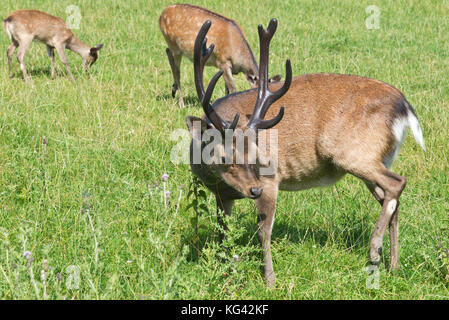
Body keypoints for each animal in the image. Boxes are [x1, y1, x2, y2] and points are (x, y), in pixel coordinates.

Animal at [186, 18, 424, 286]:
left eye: (257, 157)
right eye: (225, 157)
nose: (254, 190)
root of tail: (404, 107)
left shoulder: (271, 179)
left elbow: (263, 232)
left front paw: (270, 281)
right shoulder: (221, 194)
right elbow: (222, 232)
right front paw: (224, 270)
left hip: (356, 153)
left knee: (397, 183)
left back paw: (375, 251)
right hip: (379, 158)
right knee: (391, 198)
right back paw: (394, 265)